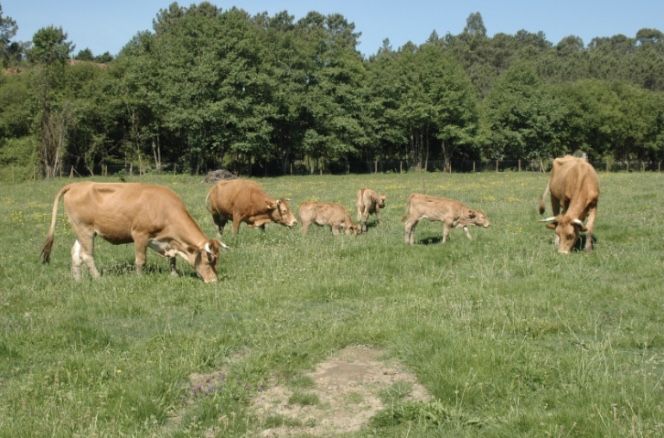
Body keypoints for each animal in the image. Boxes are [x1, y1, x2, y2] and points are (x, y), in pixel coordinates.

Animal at [40, 182, 223, 283]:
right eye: (208, 262)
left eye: (216, 261)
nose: (214, 281)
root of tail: (76, 185)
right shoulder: (140, 234)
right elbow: (140, 260)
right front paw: (140, 277)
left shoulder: (166, 240)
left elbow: (172, 259)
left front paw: (174, 275)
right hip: (85, 230)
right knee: (87, 255)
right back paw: (98, 278)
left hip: (80, 231)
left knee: (76, 253)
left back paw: (78, 280)